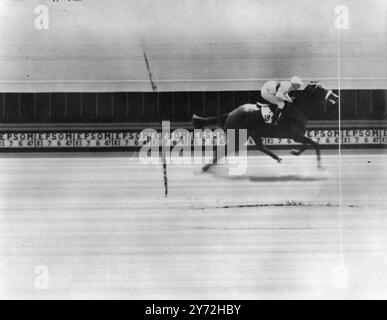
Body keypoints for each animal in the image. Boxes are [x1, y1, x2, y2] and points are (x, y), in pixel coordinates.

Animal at [192, 83, 338, 172]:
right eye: (322, 89)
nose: (336, 96)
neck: (298, 109)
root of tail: (231, 113)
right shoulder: (295, 135)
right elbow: (314, 143)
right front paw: (320, 166)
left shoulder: (298, 136)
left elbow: (309, 144)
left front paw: (295, 152)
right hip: (239, 135)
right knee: (225, 150)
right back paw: (206, 167)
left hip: (253, 133)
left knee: (259, 146)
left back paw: (277, 157)